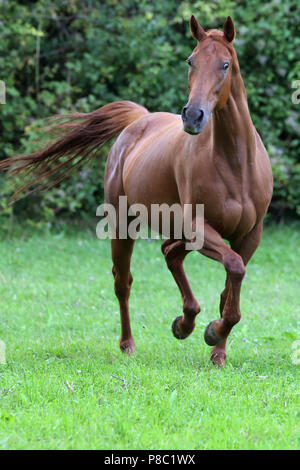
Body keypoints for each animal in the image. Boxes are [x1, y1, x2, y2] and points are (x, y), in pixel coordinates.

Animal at [1, 16, 272, 366]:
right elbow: (234, 271)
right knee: (123, 282)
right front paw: (212, 332)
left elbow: (231, 285)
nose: (193, 116)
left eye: (225, 65)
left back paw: (184, 323)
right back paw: (130, 344)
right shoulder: (200, 228)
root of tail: (140, 120)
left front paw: (217, 350)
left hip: (177, 230)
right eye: (191, 61)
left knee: (170, 254)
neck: (235, 162)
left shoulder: (249, 236)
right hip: (123, 226)